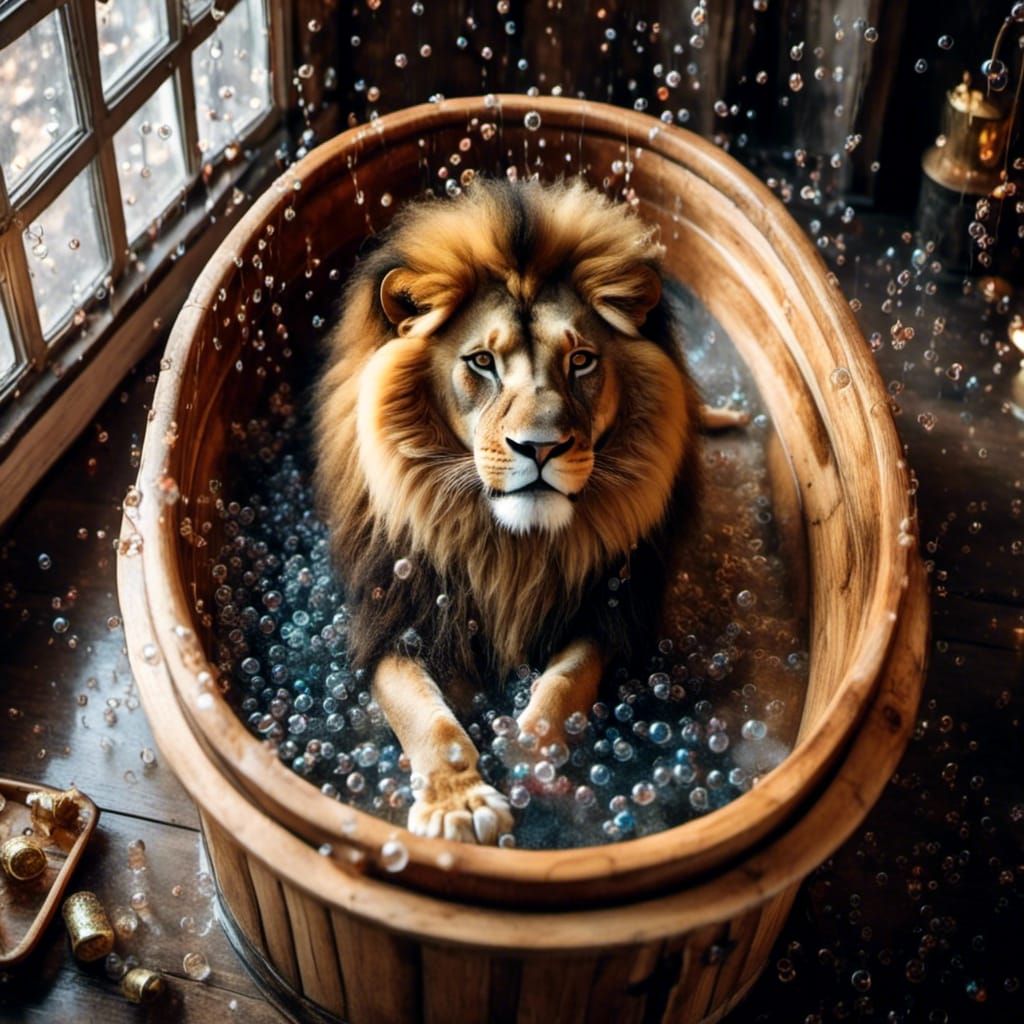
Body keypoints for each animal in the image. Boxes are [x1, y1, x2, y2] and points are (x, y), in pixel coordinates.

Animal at [314, 178, 738, 846]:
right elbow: (422, 710)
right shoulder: (391, 611)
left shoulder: (608, 607)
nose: (539, 447)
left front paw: (527, 754)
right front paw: (459, 804)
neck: (511, 547)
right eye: (482, 363)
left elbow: (565, 682)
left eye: (581, 360)